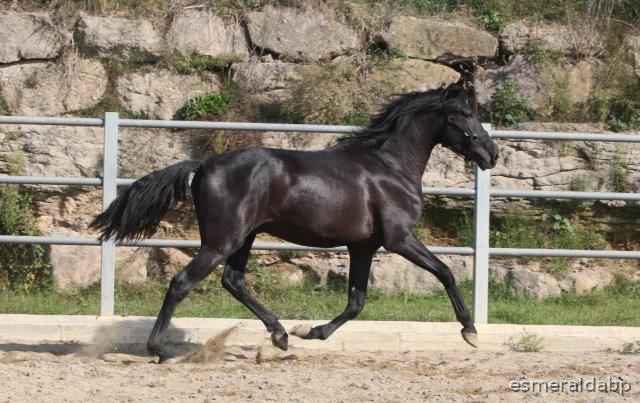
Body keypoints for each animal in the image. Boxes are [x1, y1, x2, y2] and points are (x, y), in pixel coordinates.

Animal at [90, 80, 500, 362]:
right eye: (465, 115)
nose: (492, 154)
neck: (390, 166)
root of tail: (204, 164)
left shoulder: (363, 245)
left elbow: (356, 301)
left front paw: (310, 331)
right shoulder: (398, 238)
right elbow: (445, 271)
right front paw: (470, 331)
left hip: (245, 237)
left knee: (233, 281)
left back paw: (281, 335)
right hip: (223, 240)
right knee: (182, 283)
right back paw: (160, 350)